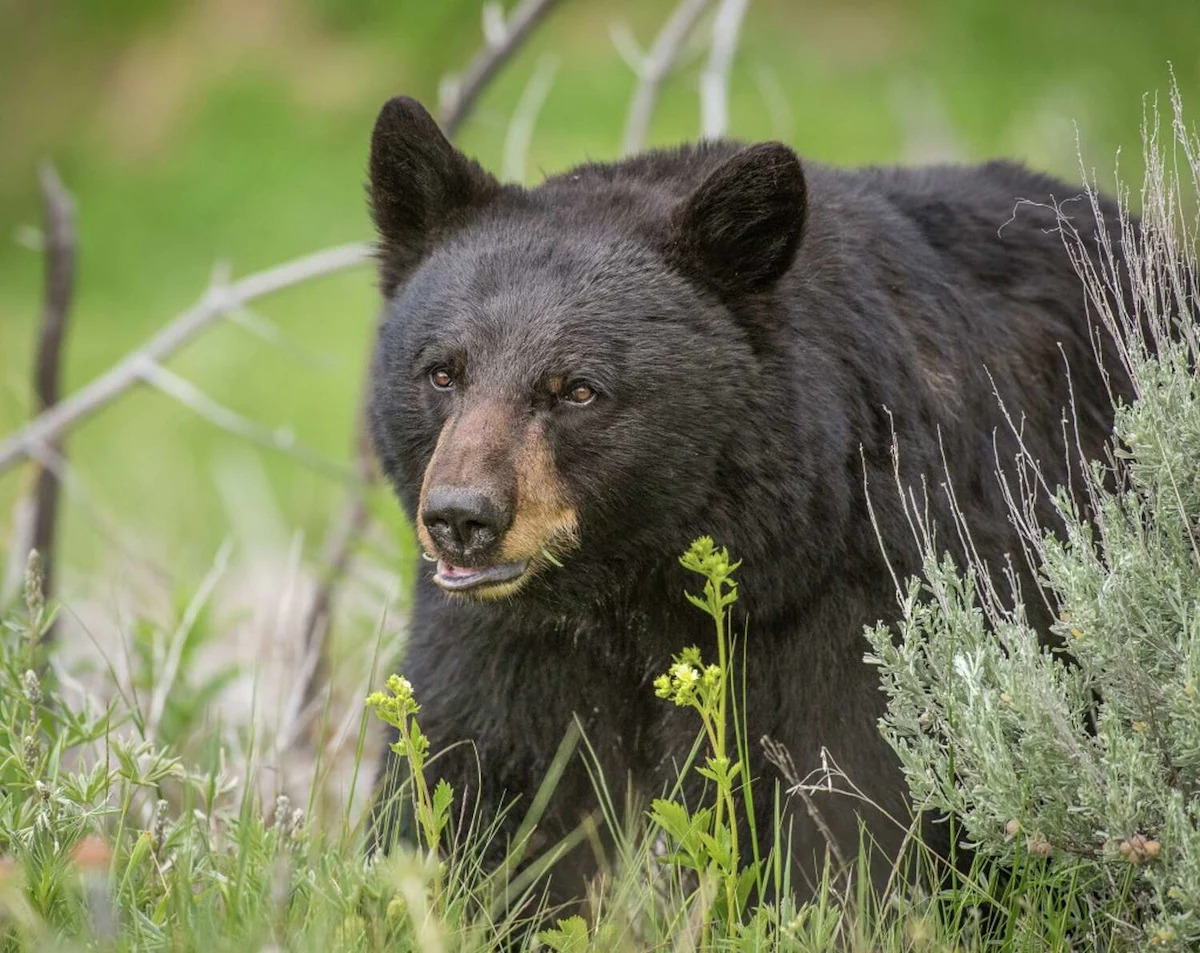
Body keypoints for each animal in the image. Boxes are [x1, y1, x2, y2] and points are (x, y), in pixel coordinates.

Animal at [364, 95, 1130, 904]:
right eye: (442, 372)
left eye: (578, 389)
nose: (462, 518)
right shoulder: (506, 643)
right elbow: (477, 783)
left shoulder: (867, 591)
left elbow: (856, 803)